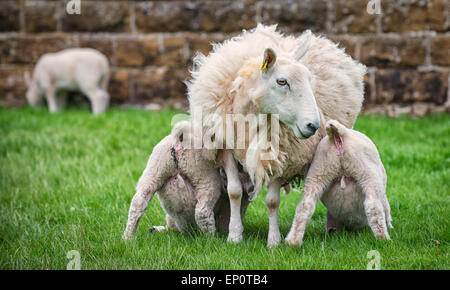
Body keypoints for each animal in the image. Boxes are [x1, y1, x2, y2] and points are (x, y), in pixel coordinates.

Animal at [121, 120, 253, 240]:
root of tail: (179, 140)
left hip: (154, 171)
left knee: (138, 203)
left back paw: (128, 237)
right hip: (204, 177)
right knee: (202, 211)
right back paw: (211, 238)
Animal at [186, 24, 366, 247]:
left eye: (310, 80)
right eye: (282, 81)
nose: (314, 125)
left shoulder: (283, 156)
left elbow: (272, 201)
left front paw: (273, 241)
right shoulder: (226, 147)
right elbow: (234, 192)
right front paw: (234, 235)